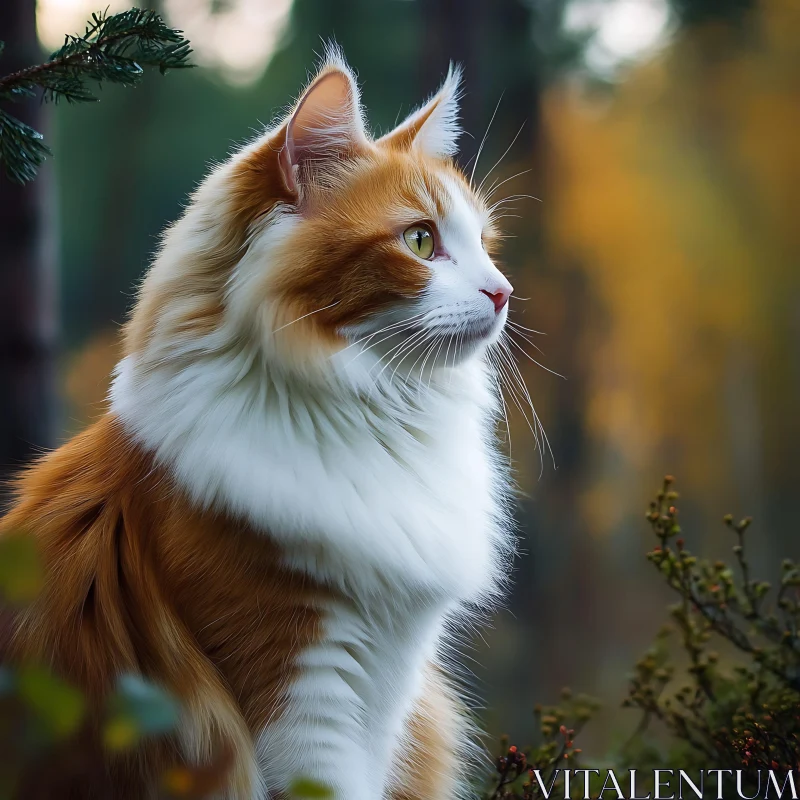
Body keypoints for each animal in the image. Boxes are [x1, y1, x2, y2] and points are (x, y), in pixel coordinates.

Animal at [1, 48, 520, 800]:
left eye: (484, 246)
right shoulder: (295, 681)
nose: (504, 292)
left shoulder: (389, 682)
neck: (368, 412)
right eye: (421, 241)